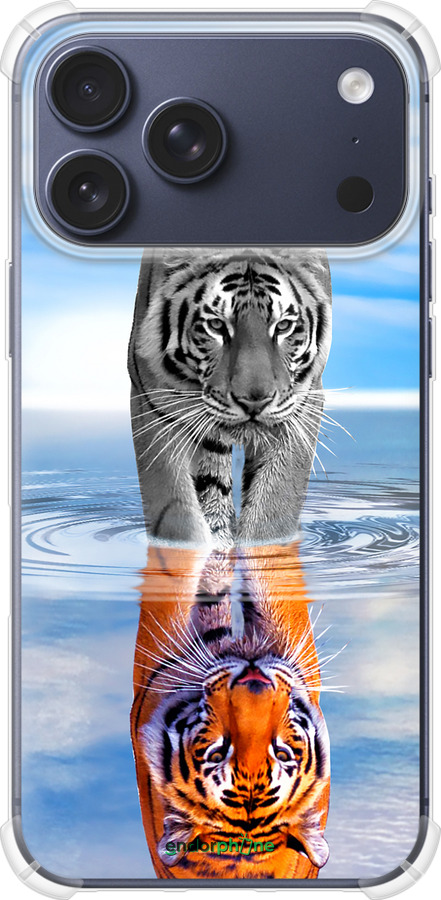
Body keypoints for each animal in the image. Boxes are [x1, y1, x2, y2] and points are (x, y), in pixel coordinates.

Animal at [128, 248, 332, 549]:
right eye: (216, 325)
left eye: (283, 326)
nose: (254, 401)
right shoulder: (155, 404)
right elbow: (178, 513)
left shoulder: (301, 407)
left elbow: (274, 504)